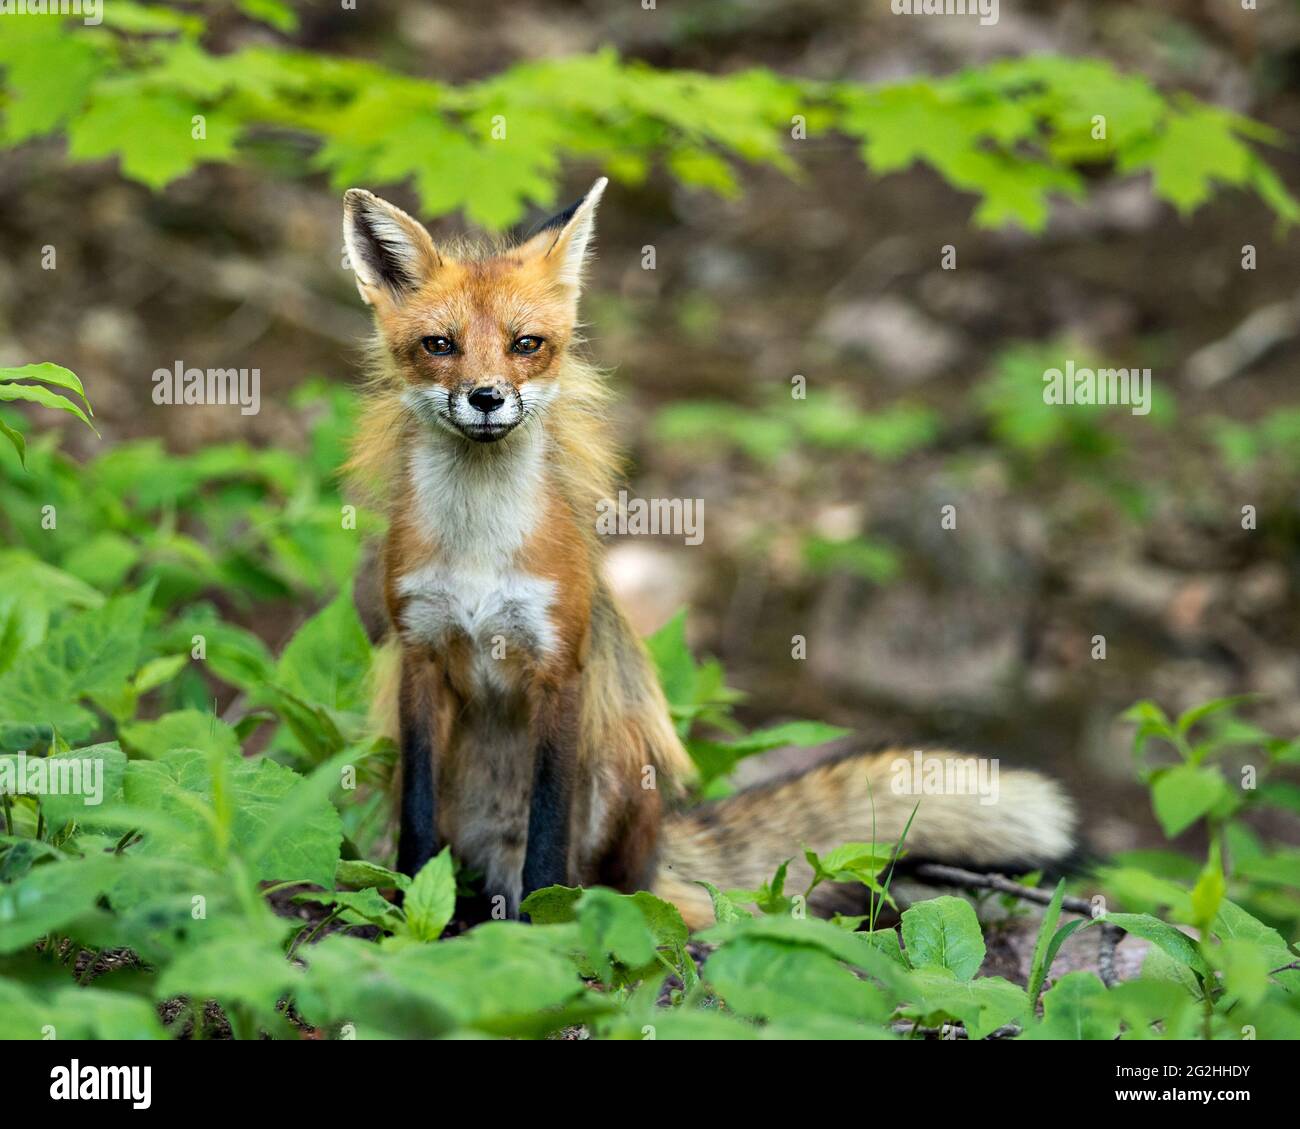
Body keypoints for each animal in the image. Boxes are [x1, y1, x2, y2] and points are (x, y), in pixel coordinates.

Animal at [340, 178, 1071, 926]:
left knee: (611, 884)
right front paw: (406, 908)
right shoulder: (421, 653)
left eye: (526, 344)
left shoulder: (559, 666)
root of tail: (664, 850)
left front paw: (539, 928)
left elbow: (549, 832)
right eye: (440, 344)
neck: (480, 550)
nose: (486, 397)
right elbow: (417, 824)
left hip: (624, 770)